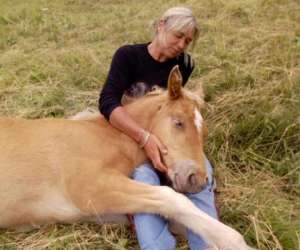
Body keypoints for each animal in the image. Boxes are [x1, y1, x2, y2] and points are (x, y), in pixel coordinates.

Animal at [0, 65, 253, 249]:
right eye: (179, 122)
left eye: (204, 132)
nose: (198, 180)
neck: (108, 137)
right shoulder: (90, 188)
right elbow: (172, 198)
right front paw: (234, 241)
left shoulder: (105, 211)